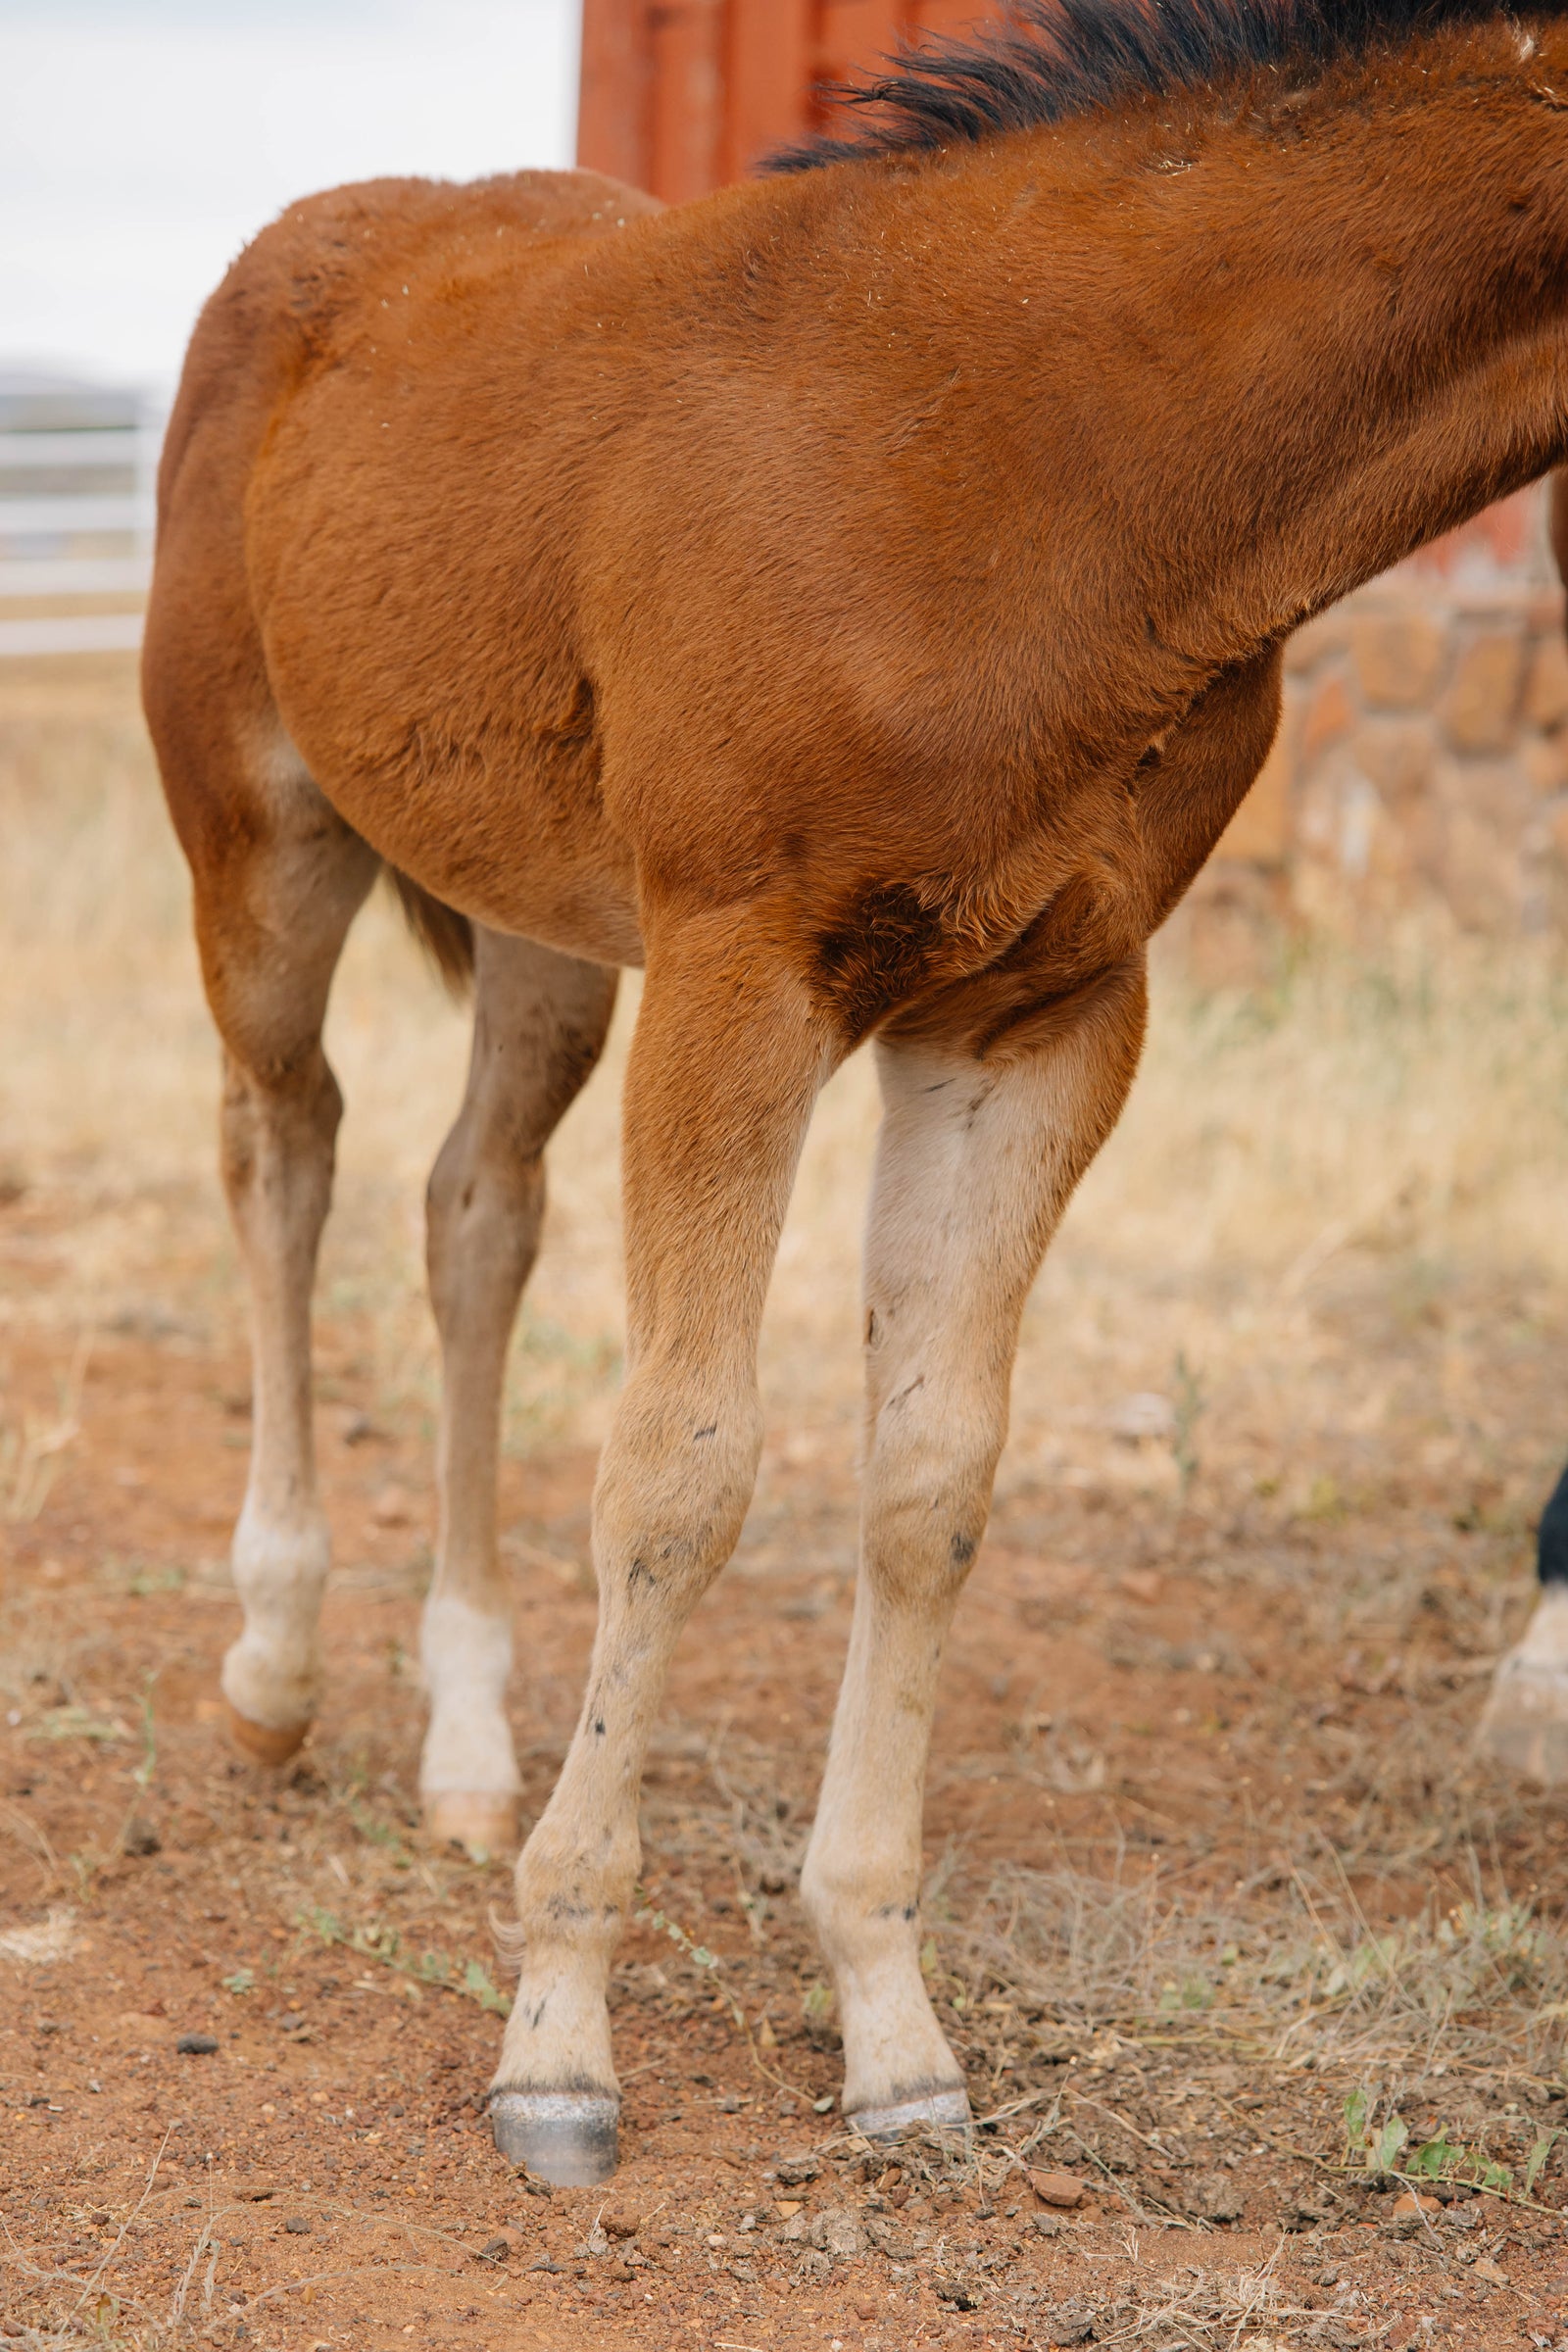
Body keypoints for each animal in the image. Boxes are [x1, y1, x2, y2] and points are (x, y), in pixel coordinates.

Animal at [143, 0, 1568, 2185]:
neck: (1061, 461)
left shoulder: (1041, 1013)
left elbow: (929, 1483)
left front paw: (889, 2017)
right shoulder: (744, 974)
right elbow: (679, 1472)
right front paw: (557, 2039)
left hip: (551, 925)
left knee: (473, 1216)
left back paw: (465, 1740)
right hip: (263, 838)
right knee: (280, 1157)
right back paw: (274, 1666)